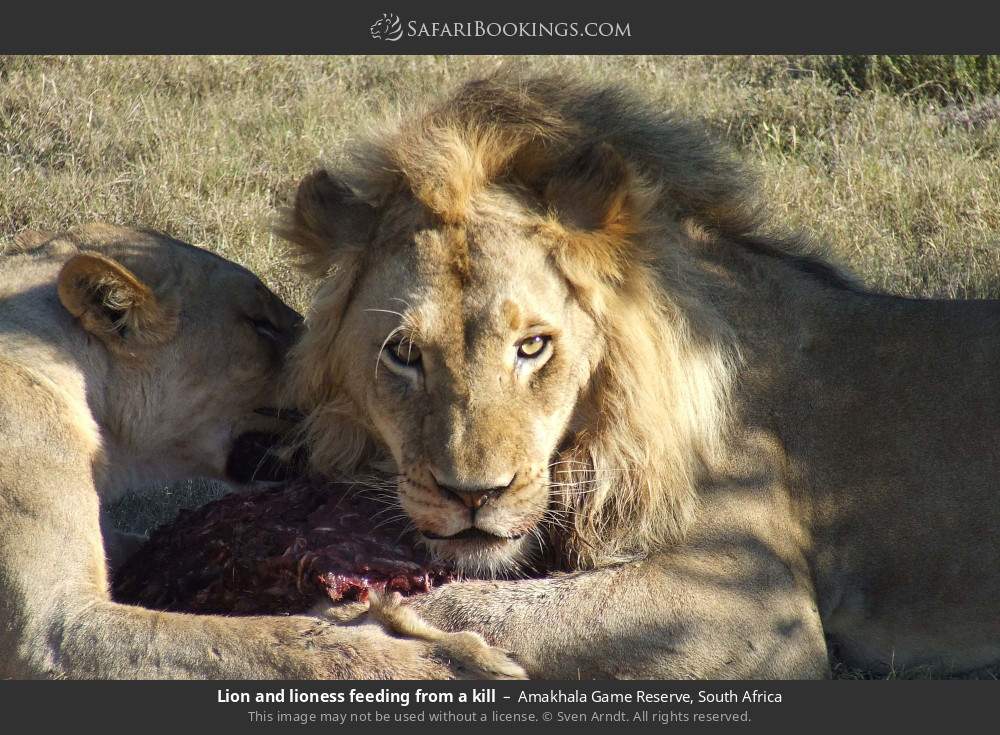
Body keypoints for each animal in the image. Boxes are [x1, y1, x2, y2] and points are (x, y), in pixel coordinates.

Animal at [280, 72, 1000, 679]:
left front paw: (361, 613)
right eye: (403, 352)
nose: (472, 495)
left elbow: (503, 604)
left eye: (533, 345)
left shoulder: (757, 605)